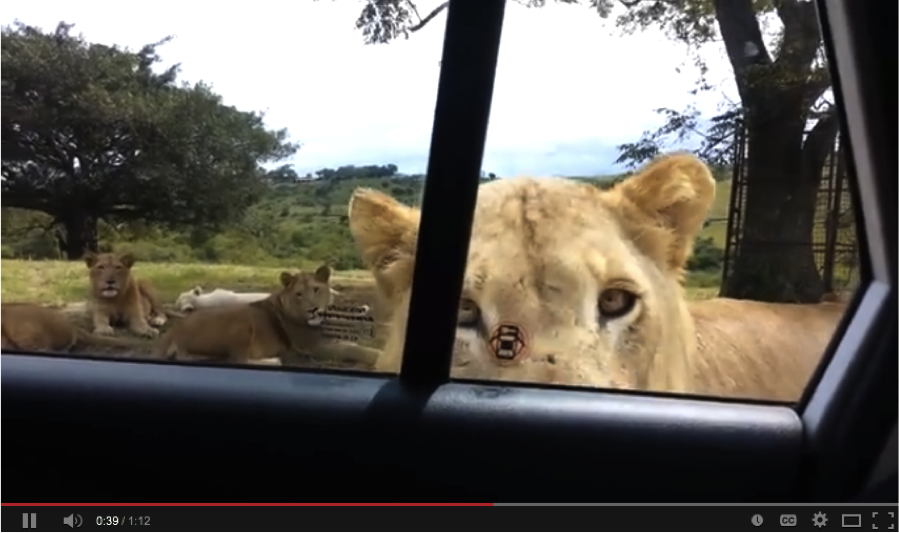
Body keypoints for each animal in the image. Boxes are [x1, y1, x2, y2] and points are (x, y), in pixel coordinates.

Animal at [152, 265, 381, 367]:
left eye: (316, 290)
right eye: (299, 294)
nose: (313, 309)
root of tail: (173, 332)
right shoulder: (312, 346)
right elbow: (353, 349)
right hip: (242, 324)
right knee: (237, 359)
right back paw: (273, 361)